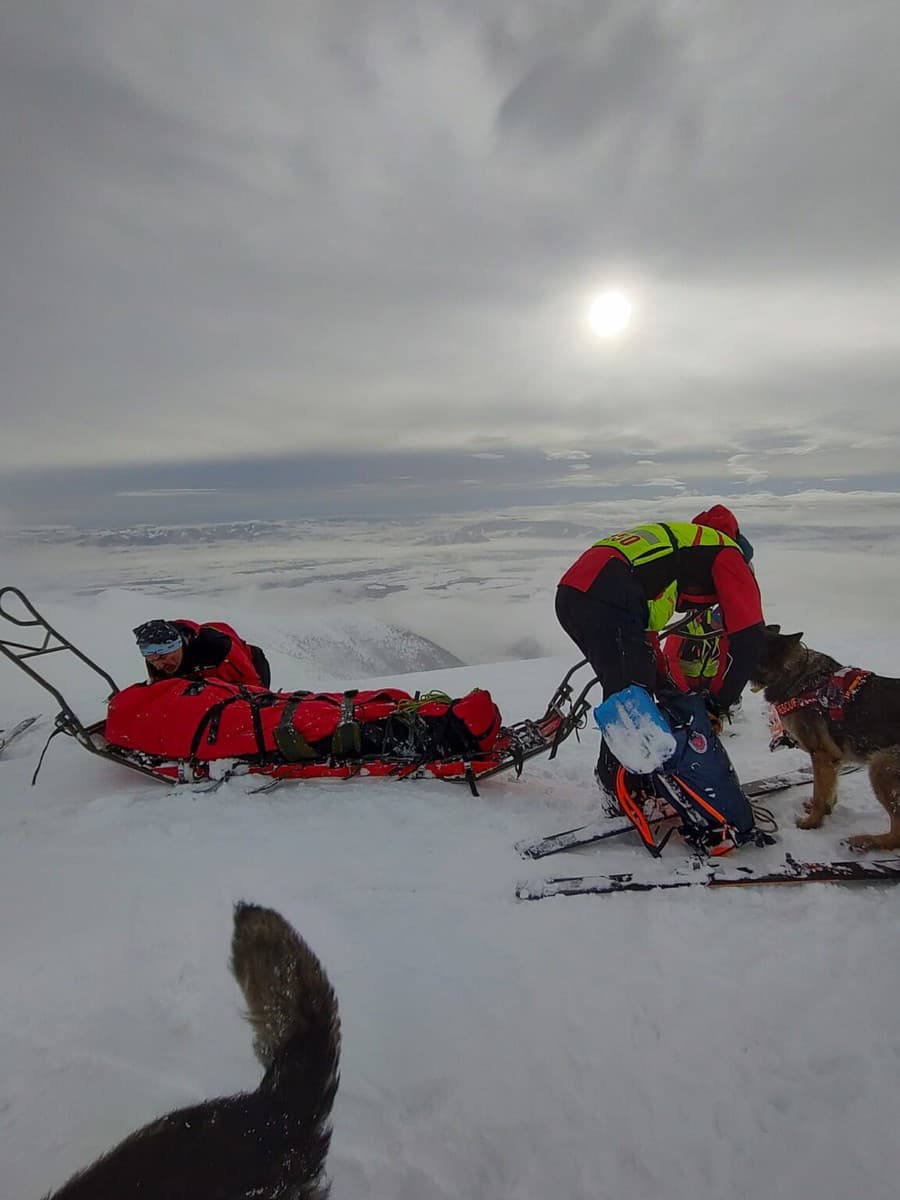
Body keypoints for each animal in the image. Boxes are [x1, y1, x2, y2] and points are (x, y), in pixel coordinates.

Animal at [748, 628, 900, 854]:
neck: (794, 673)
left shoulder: (821, 755)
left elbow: (820, 794)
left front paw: (811, 823)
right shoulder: (833, 760)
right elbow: (828, 791)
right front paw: (824, 811)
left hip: (880, 766)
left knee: (896, 834)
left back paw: (866, 841)